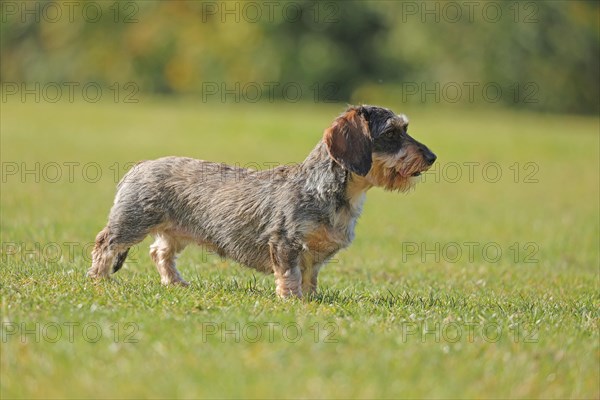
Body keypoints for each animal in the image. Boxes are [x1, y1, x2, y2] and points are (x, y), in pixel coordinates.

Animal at [86, 104, 436, 298]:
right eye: (391, 133)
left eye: (405, 128)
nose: (432, 157)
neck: (326, 192)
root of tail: (140, 165)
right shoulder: (285, 243)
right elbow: (290, 274)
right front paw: (291, 299)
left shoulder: (314, 256)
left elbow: (309, 276)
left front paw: (311, 298)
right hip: (130, 224)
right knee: (105, 244)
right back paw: (98, 279)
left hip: (175, 233)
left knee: (160, 253)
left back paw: (176, 283)